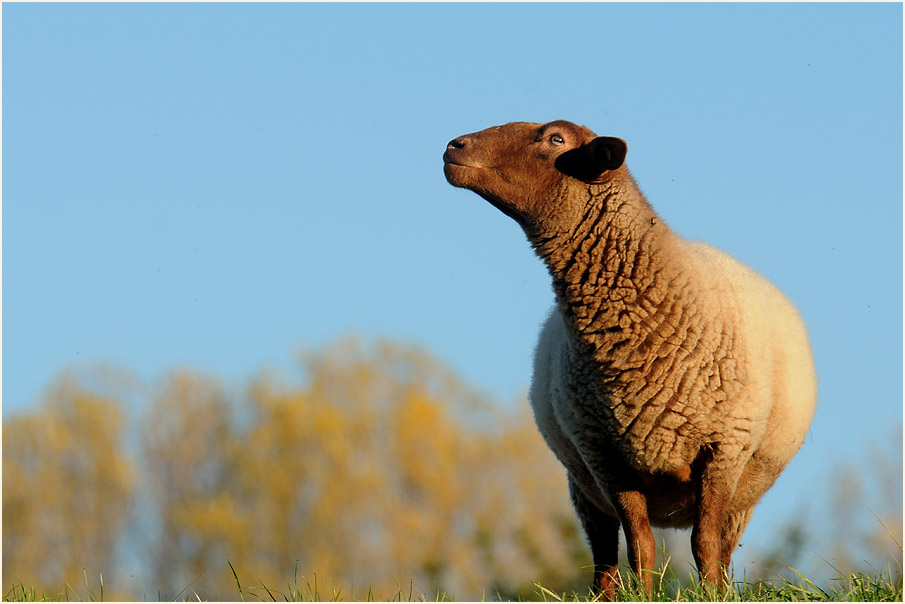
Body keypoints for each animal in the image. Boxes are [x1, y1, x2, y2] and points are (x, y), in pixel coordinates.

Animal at [442, 120, 817, 597]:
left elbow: (704, 544)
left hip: (741, 496)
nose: (454, 147)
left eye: (556, 139)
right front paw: (644, 596)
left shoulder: (724, 450)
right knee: (603, 558)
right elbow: (641, 546)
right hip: (583, 487)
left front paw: (709, 597)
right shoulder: (607, 459)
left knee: (722, 551)